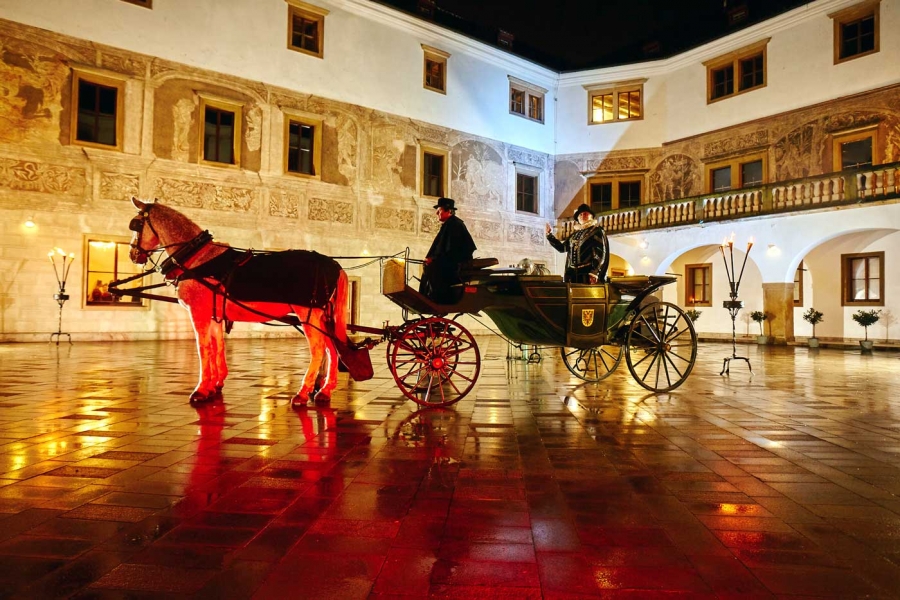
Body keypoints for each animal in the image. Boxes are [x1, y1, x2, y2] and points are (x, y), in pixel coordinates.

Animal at [127, 197, 351, 405]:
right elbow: (217, 346)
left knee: (319, 350)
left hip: (308, 315)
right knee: (332, 349)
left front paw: (201, 389)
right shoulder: (214, 315)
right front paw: (214, 384)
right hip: (322, 317)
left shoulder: (198, 312)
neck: (197, 258)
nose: (132, 253)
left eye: (136, 224)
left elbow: (203, 348)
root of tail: (334, 264)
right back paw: (325, 390)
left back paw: (303, 393)